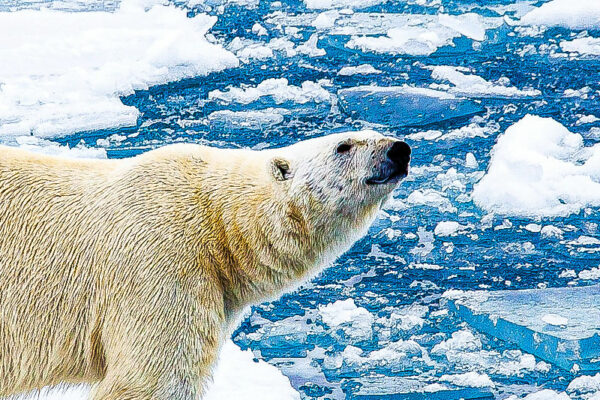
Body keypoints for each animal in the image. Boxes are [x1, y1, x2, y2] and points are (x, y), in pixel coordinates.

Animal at [0, 130, 408, 398]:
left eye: (375, 133)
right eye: (344, 145)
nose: (399, 150)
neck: (219, 220)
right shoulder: (160, 260)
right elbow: (154, 377)